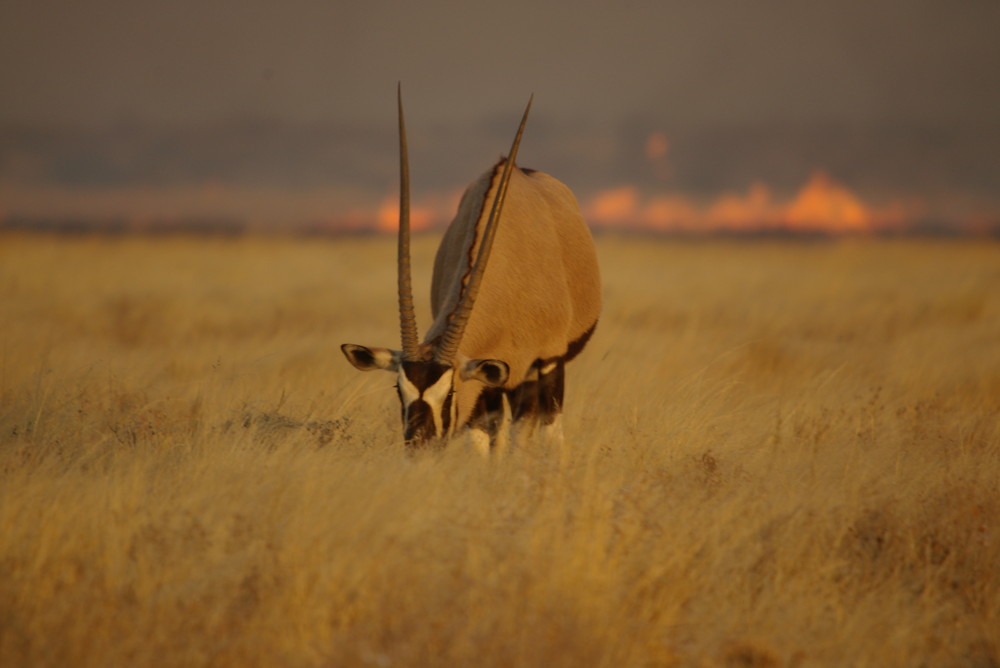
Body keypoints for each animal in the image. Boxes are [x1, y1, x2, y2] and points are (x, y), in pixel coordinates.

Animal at [340, 88, 596, 452]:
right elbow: (483, 439)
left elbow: (550, 433)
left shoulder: (549, 360)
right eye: (398, 391)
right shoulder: (487, 379)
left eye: (449, 394)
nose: (419, 446)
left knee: (528, 423)